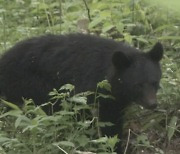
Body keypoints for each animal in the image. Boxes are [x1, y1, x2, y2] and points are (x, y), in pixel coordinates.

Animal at [0, 33, 163, 153]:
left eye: (154, 82)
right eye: (138, 85)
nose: (152, 104)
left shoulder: (114, 101)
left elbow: (112, 123)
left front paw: (114, 146)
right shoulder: (84, 87)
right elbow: (82, 115)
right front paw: (94, 142)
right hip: (31, 85)